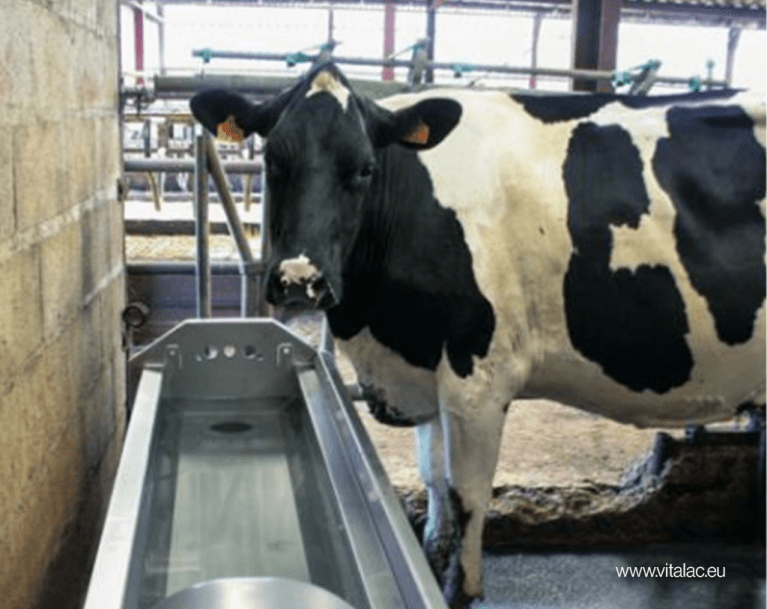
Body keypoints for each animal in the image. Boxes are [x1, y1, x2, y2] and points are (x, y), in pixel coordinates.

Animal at [191, 62, 766, 608]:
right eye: (272, 160)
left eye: (364, 168)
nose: (298, 280)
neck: (381, 328)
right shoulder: (427, 364)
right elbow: (431, 474)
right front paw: (429, 552)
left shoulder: (479, 374)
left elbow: (466, 492)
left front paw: (459, 587)